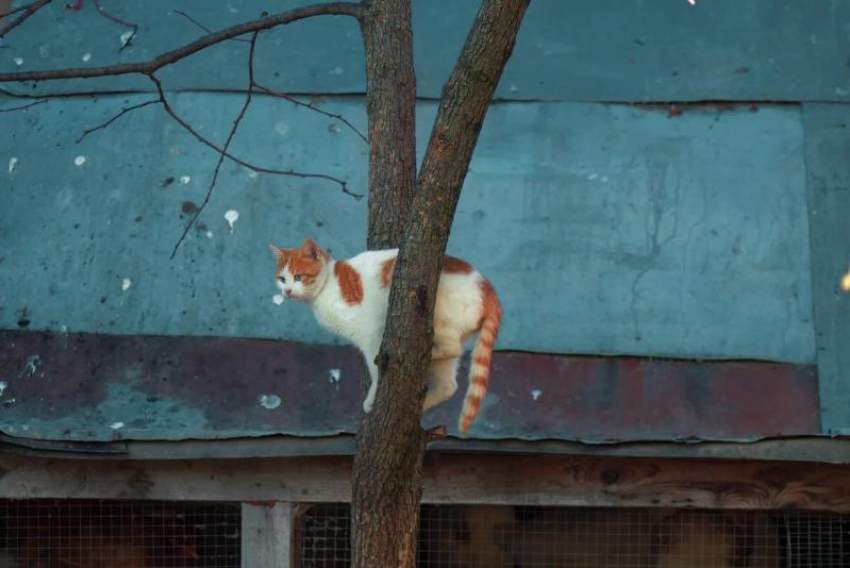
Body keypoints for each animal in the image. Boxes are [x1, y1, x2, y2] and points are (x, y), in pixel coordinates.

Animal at [268, 237, 500, 432]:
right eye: (282, 279)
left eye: (298, 277)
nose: (287, 291)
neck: (326, 288)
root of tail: (489, 291)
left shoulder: (372, 333)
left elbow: (376, 370)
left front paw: (371, 400)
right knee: (449, 386)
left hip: (439, 318)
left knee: (453, 348)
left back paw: (421, 356)